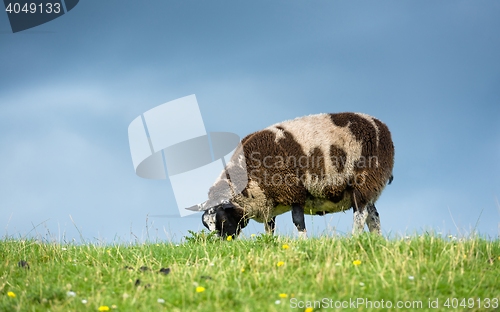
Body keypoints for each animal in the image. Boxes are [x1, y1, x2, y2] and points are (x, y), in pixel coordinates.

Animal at [187, 113, 394, 238]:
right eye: (206, 225)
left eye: (222, 220)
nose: (221, 245)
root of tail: (381, 127)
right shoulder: (268, 202)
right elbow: (269, 228)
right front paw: (269, 243)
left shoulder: (293, 191)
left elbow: (298, 221)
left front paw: (303, 241)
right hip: (369, 187)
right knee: (373, 217)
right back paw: (375, 241)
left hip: (363, 181)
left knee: (361, 214)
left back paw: (354, 238)